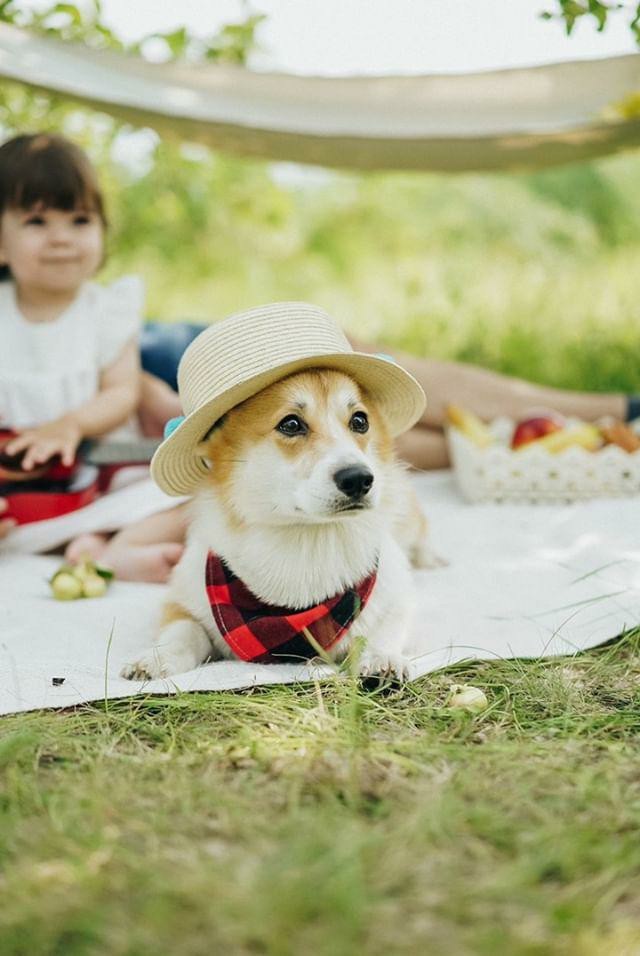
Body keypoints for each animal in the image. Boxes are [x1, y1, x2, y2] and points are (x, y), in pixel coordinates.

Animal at [122, 370, 438, 684]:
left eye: (360, 421)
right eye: (291, 424)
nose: (359, 479)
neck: (304, 537)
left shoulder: (396, 598)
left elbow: (385, 630)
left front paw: (382, 660)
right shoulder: (182, 600)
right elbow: (184, 630)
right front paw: (158, 657)